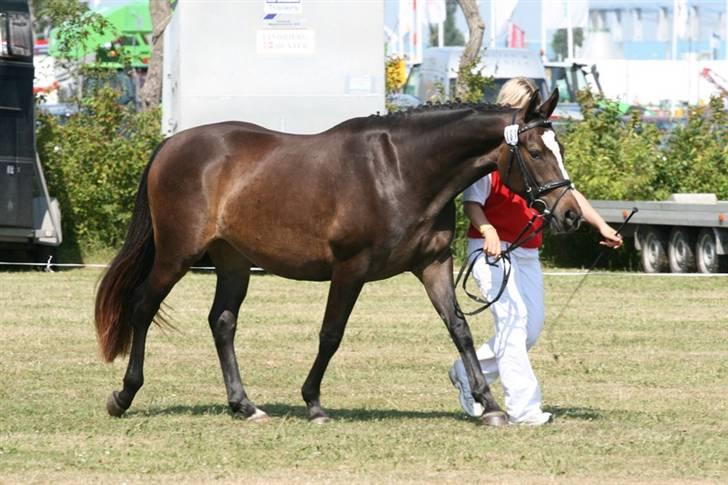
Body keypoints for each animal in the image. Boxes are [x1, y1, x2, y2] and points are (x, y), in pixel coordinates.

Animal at [95, 89, 580, 426]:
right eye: (536, 152)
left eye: (560, 148)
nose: (570, 214)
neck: (400, 170)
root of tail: (170, 145)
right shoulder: (350, 269)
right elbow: (331, 334)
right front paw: (313, 403)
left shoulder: (433, 265)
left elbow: (459, 328)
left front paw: (490, 404)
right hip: (176, 256)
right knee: (142, 307)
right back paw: (123, 396)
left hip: (233, 262)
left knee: (222, 322)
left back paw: (245, 405)